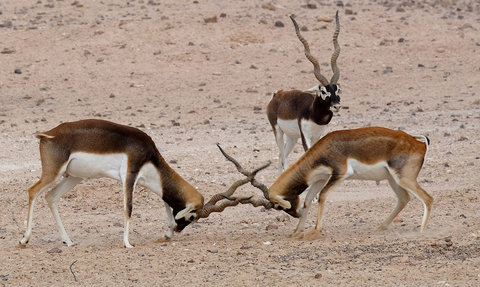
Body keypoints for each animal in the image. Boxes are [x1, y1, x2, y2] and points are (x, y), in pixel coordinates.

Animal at [231, 127, 434, 238]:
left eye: (278, 206)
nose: (295, 215)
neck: (325, 149)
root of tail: (420, 144)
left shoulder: (340, 174)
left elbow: (322, 197)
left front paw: (316, 230)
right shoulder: (320, 179)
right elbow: (308, 201)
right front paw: (297, 231)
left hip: (404, 178)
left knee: (428, 198)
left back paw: (421, 231)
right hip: (393, 179)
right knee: (404, 199)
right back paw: (382, 226)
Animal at [268, 11, 344, 176]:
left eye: (337, 89)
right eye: (323, 90)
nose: (336, 106)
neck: (314, 114)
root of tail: (277, 94)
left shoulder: (317, 136)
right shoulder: (305, 137)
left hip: (292, 138)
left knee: (280, 156)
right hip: (278, 132)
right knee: (283, 157)